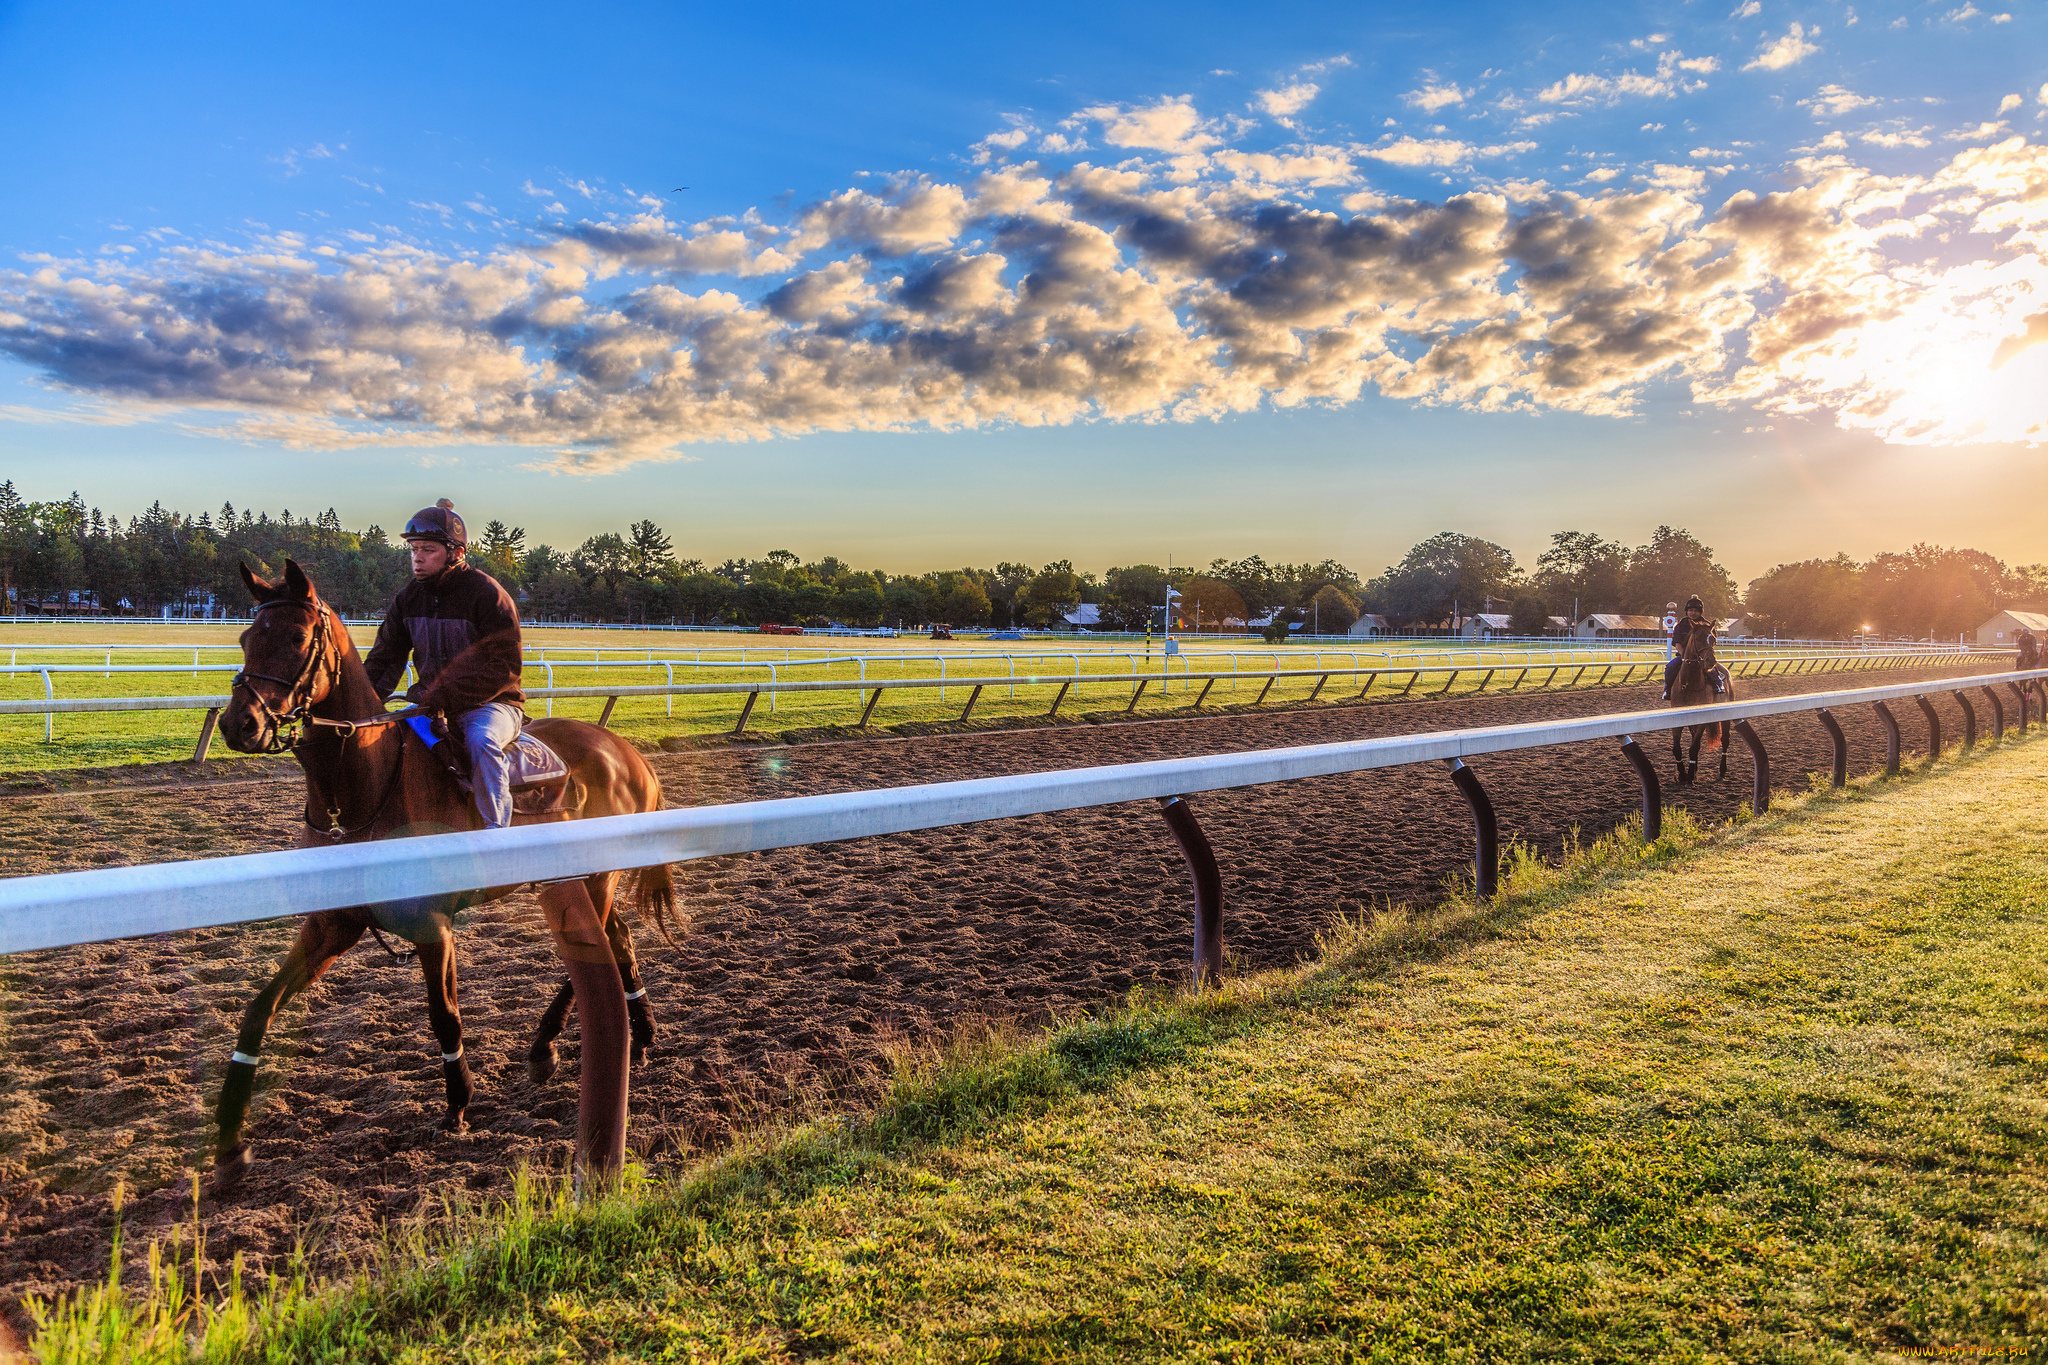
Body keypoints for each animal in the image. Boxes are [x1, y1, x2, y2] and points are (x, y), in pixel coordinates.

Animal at [216, 560, 679, 1186]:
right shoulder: (333, 922)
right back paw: (642, 1033)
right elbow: (257, 1011)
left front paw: (458, 1105)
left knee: (598, 949)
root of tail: (628, 752)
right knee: (619, 938)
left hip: (593, 876)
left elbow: (445, 1019)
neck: (367, 790)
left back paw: (545, 1046)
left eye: (294, 637)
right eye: (246, 637)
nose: (239, 724)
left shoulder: (433, 927)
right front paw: (229, 1144)